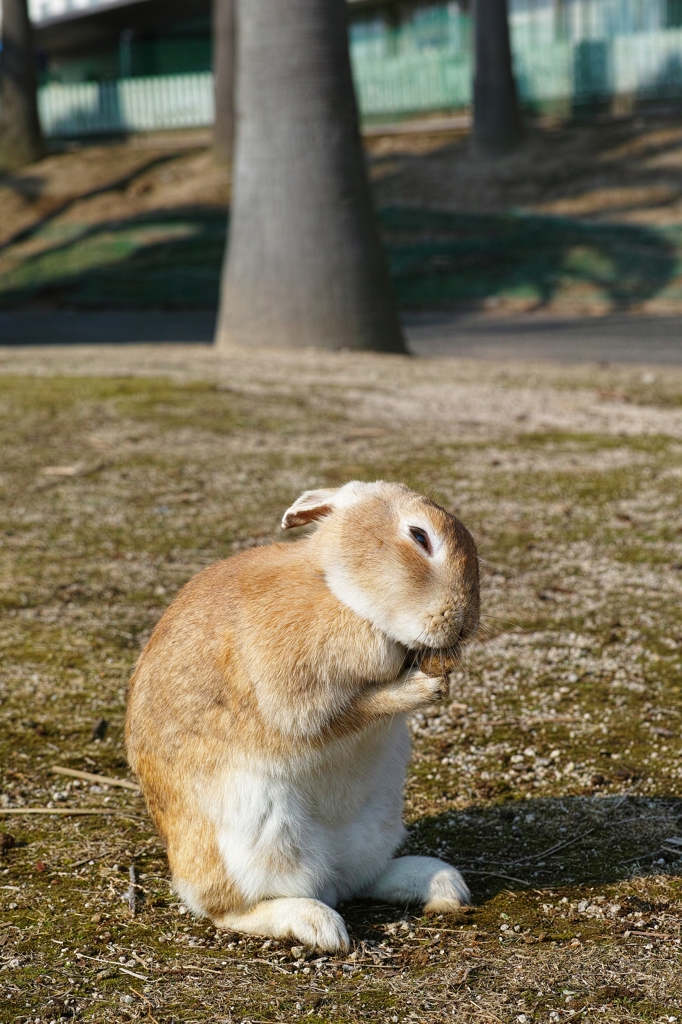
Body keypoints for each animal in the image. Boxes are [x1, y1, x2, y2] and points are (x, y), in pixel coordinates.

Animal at [125, 479, 477, 950]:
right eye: (419, 536)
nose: (465, 621)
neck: (339, 592)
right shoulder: (296, 698)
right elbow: (352, 711)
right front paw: (426, 687)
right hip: (259, 837)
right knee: (231, 909)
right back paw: (319, 926)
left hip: (376, 822)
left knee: (355, 880)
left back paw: (441, 884)